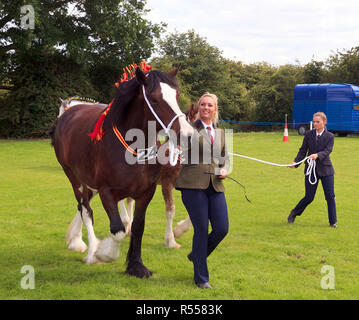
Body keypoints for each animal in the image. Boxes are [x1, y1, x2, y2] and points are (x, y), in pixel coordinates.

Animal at [50, 67, 194, 278]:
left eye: (176, 95)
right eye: (154, 99)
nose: (187, 134)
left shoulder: (146, 192)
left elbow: (138, 227)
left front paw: (136, 266)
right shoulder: (106, 191)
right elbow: (116, 229)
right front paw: (104, 252)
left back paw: (76, 240)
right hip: (75, 178)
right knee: (85, 209)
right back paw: (90, 251)